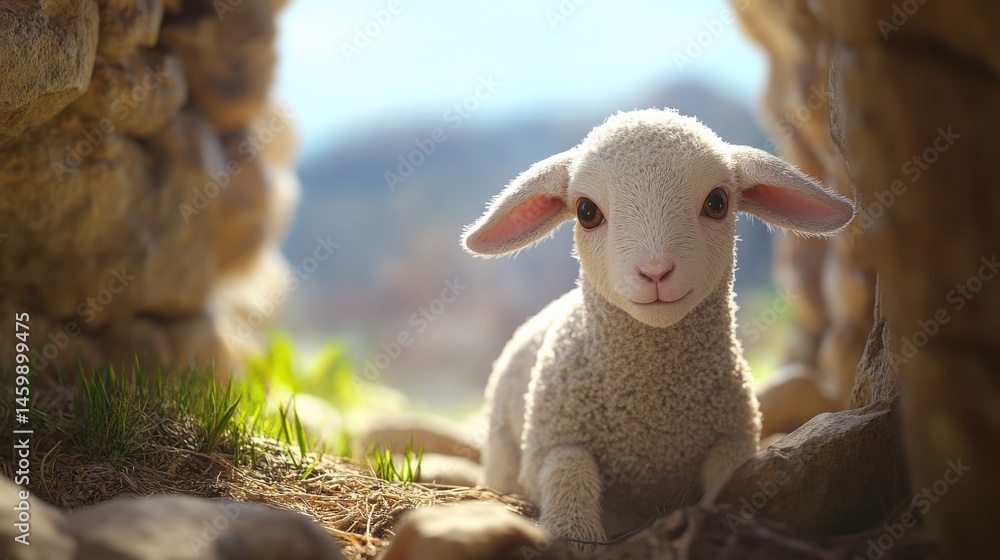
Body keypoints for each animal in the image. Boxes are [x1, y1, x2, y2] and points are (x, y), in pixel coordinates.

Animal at [461, 108, 855, 553]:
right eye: (586, 212)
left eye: (717, 203)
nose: (655, 272)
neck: (654, 409)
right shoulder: (551, 441)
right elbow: (568, 469)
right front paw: (574, 534)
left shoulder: (733, 437)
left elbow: (730, 475)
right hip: (504, 445)